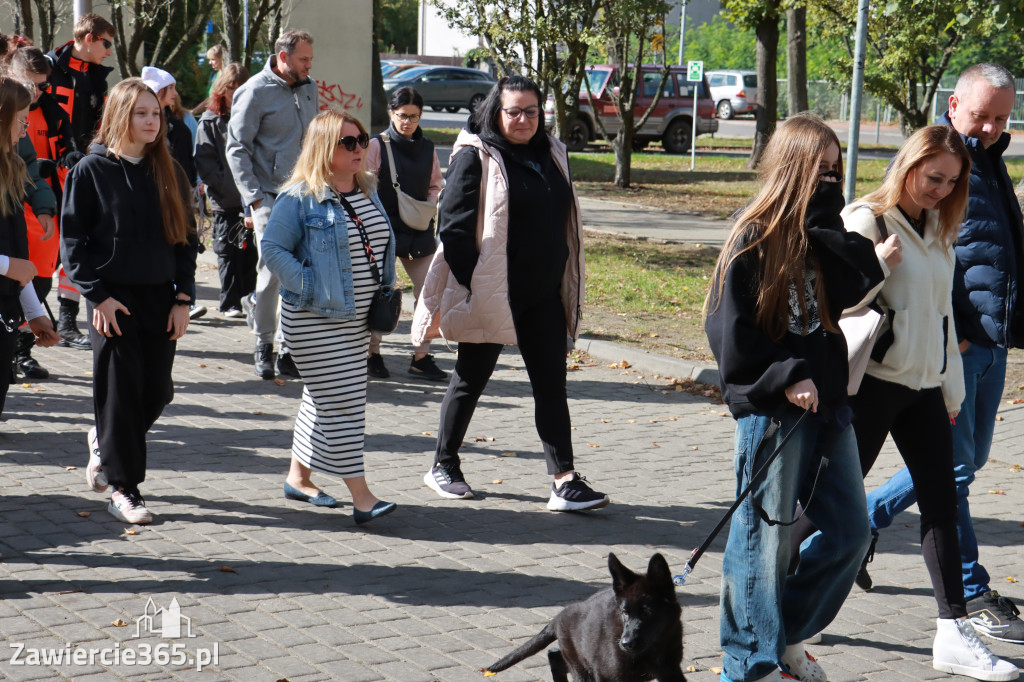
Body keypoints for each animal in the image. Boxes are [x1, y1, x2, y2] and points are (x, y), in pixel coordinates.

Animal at [481, 552, 688, 679]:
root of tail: (559, 617)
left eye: (648, 611)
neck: (652, 648)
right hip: (582, 667)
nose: (626, 643)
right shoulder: (607, 675)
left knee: (555, 656)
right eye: (624, 612)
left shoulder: (670, 670)